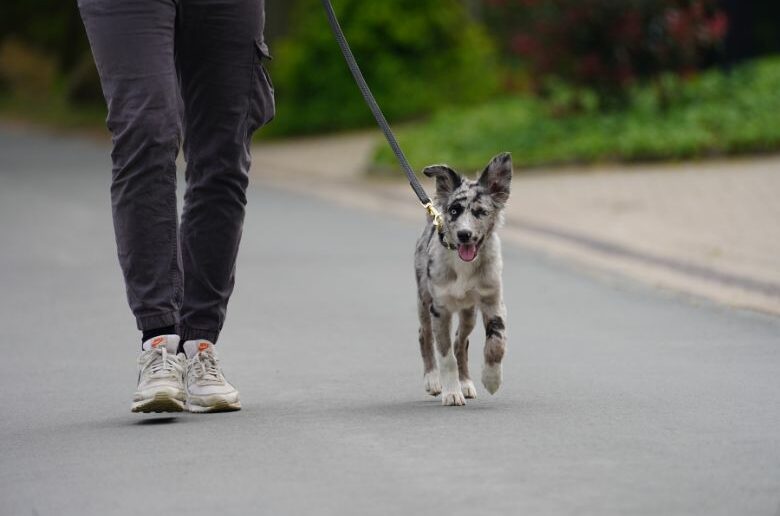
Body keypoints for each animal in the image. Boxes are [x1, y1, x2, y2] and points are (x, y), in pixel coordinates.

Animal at [414, 153, 512, 408]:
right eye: (454, 211)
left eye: (480, 212)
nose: (464, 235)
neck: (464, 267)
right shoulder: (439, 309)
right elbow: (446, 356)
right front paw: (451, 393)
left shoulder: (493, 301)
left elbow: (496, 343)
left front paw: (491, 379)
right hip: (423, 300)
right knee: (424, 335)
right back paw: (432, 380)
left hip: (469, 314)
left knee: (461, 342)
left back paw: (466, 382)